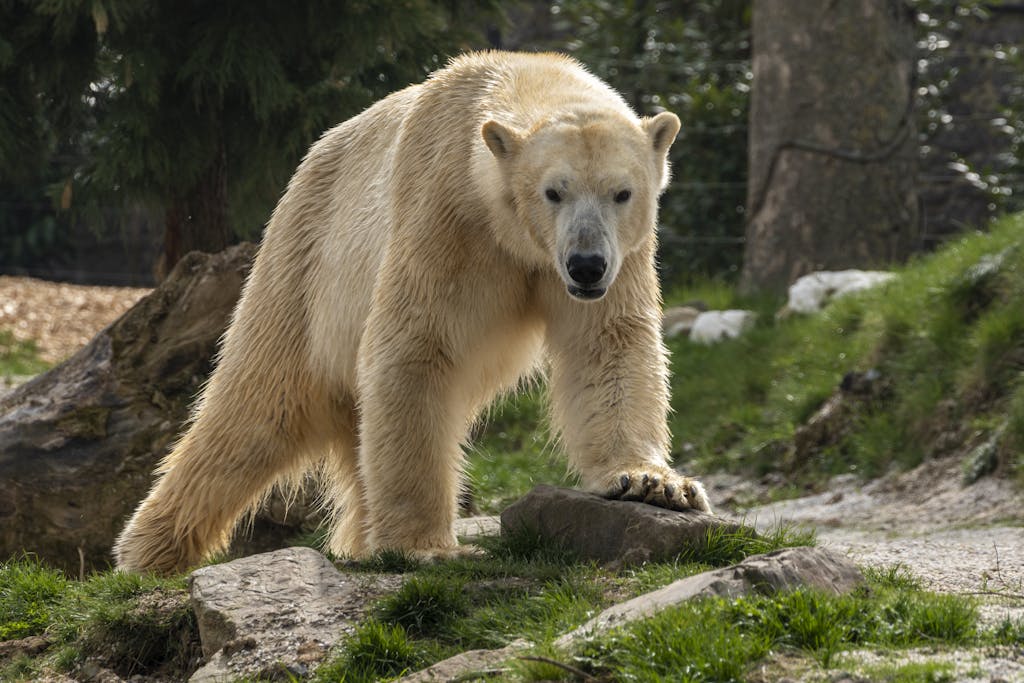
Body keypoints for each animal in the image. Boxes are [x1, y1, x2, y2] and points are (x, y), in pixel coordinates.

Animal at [114, 51, 711, 575]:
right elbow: (414, 351)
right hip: (302, 266)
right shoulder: (445, 216)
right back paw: (148, 551)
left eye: (622, 192)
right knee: (253, 407)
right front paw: (424, 546)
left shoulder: (624, 256)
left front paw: (653, 484)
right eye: (553, 192)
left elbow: (608, 343)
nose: (586, 265)